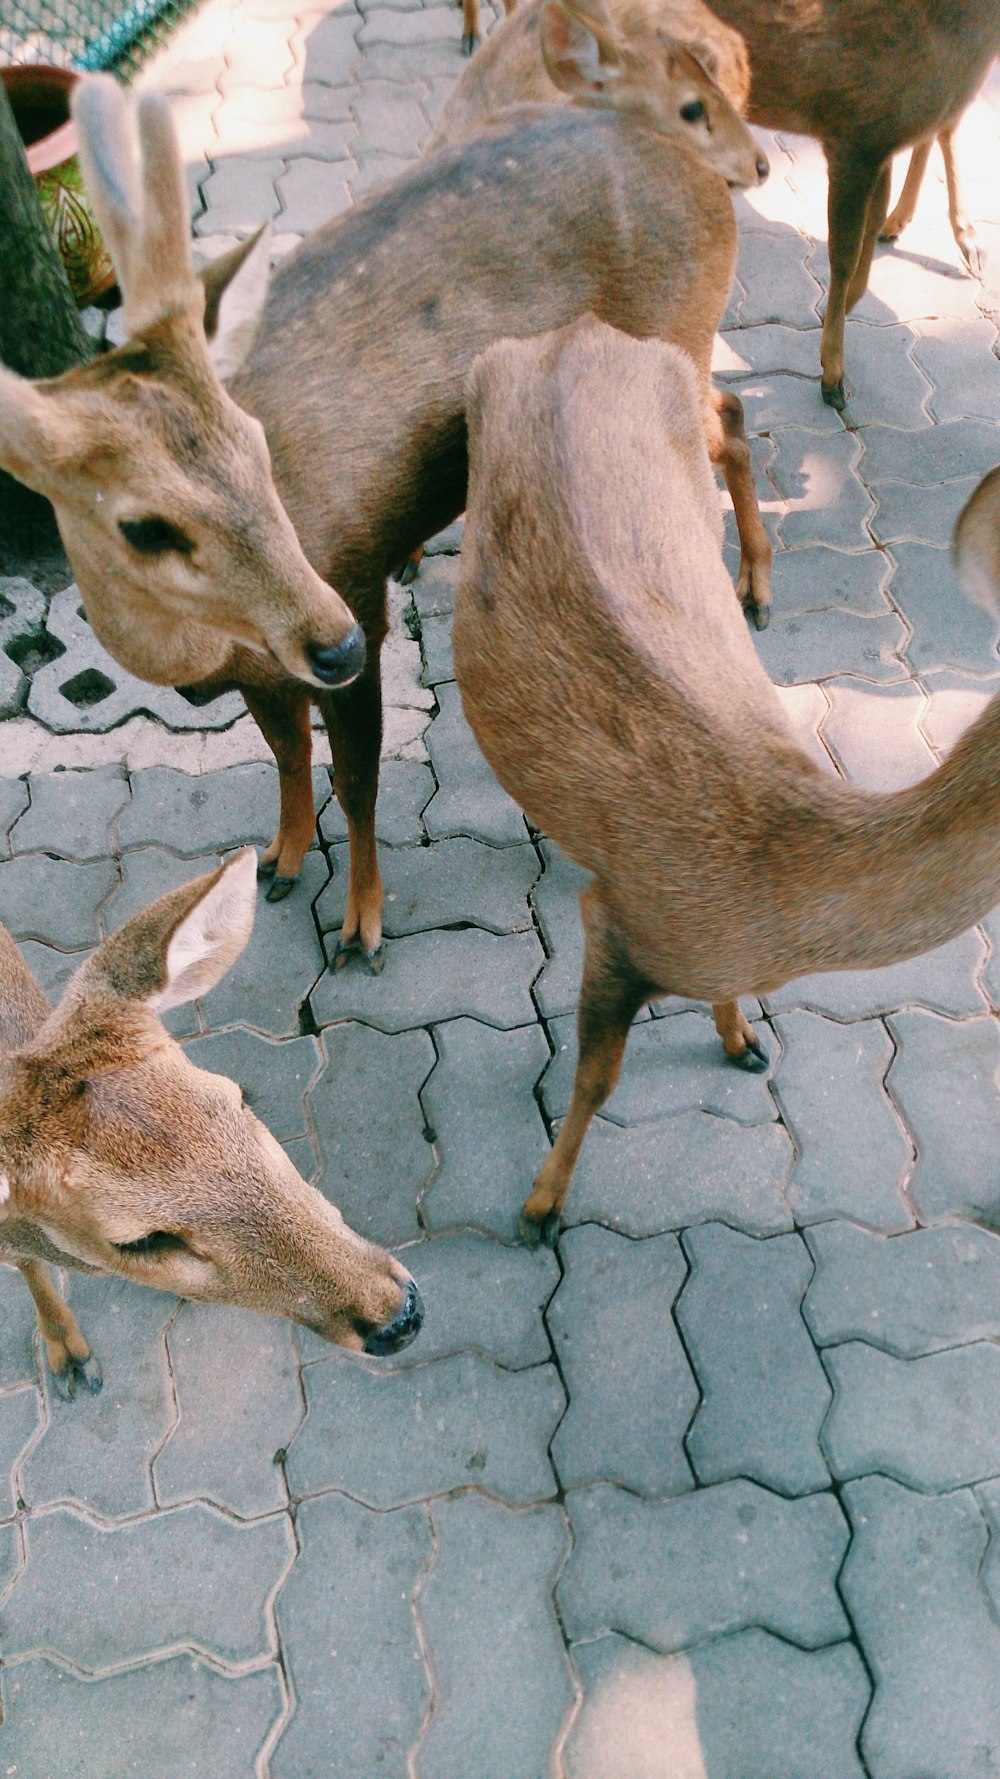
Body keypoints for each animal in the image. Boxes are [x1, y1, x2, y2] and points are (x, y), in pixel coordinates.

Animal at [0, 24, 765, 974]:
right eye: (142, 525)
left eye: (255, 441)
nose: (333, 643)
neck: (211, 653)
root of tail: (701, 174)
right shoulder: (267, 665)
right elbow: (288, 752)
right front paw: (282, 858)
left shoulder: (352, 595)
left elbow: (358, 778)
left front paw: (360, 926)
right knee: (731, 408)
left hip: (676, 339)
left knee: (727, 418)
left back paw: (754, 589)